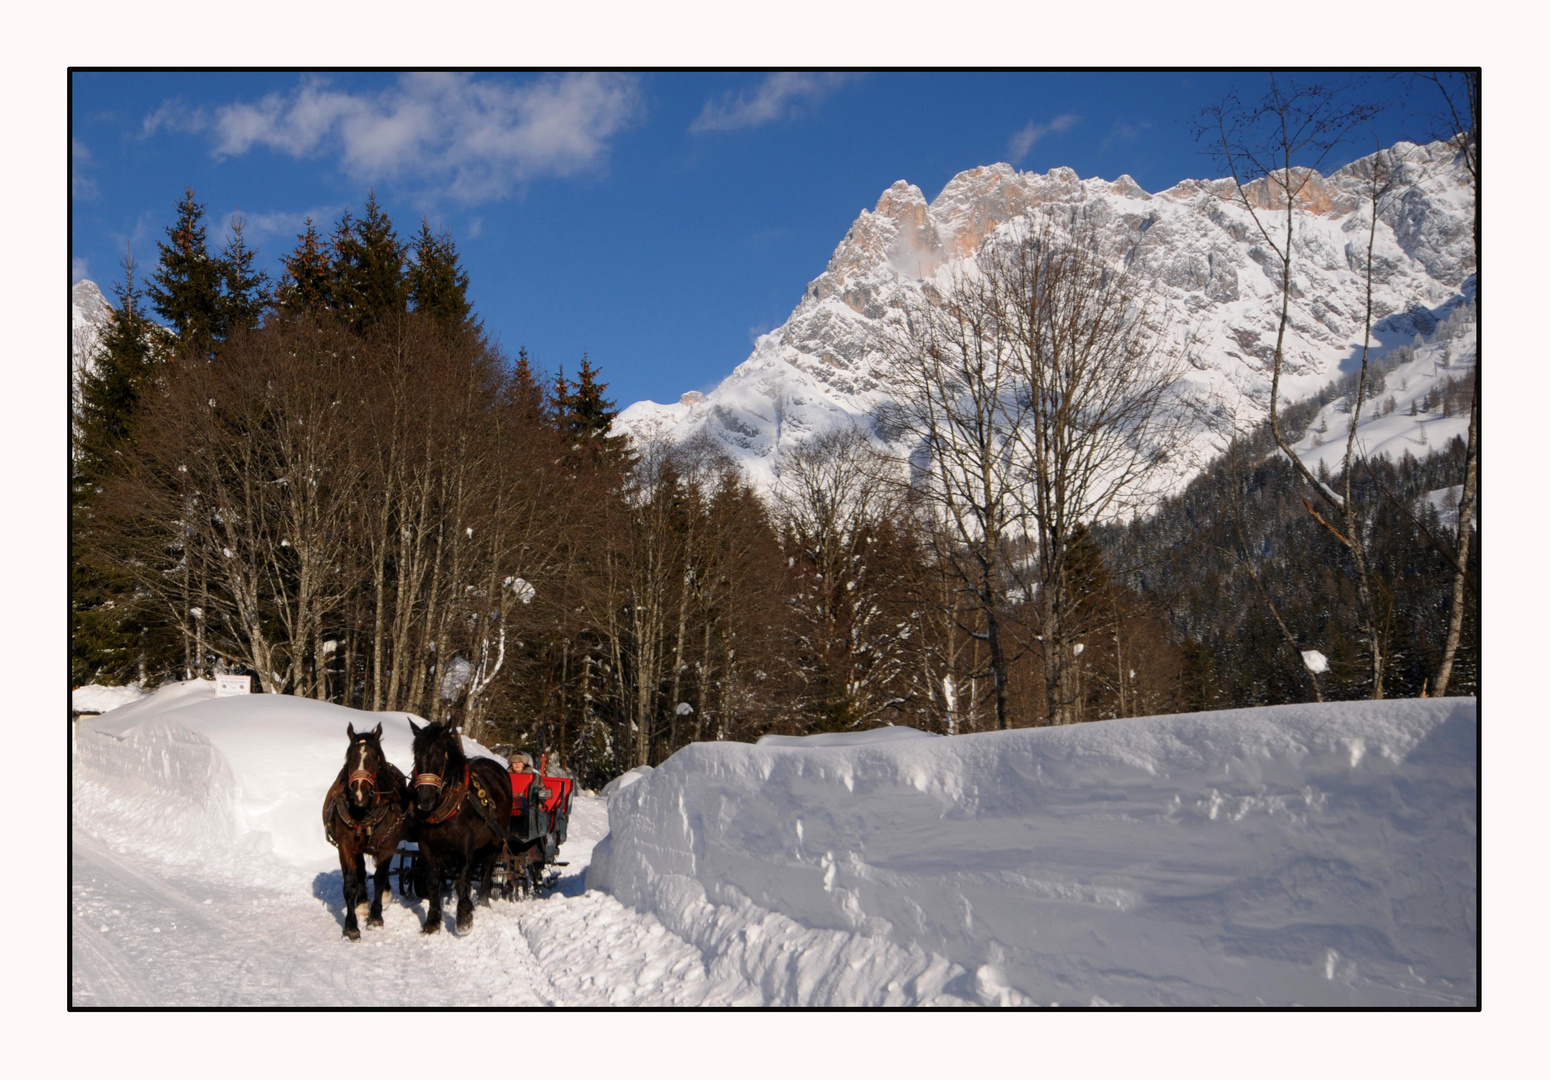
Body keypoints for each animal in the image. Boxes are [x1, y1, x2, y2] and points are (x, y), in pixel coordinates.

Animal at [322, 718, 412, 942]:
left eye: (374, 757)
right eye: (350, 756)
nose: (359, 794)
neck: (365, 812)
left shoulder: (387, 846)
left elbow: (379, 879)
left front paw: (376, 917)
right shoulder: (346, 846)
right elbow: (351, 883)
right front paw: (351, 926)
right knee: (361, 873)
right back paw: (362, 903)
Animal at [409, 715, 511, 935]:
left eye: (440, 753)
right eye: (416, 753)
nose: (425, 799)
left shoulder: (465, 844)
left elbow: (462, 877)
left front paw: (464, 917)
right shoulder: (426, 845)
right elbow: (433, 881)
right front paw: (432, 920)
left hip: (494, 841)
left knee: (487, 869)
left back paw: (482, 902)